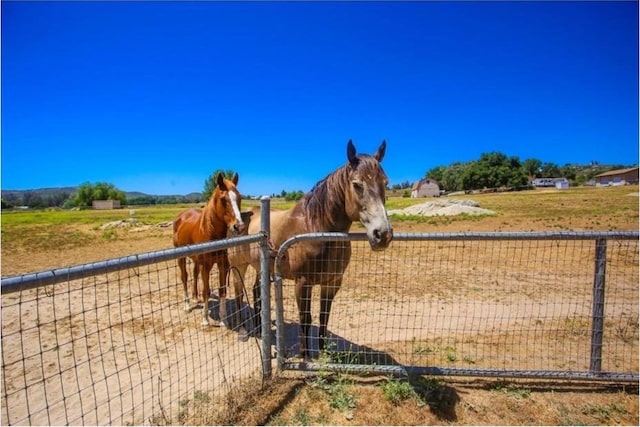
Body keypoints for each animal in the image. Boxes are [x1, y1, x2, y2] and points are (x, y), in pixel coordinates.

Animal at [172, 173, 248, 328]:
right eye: (223, 199)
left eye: (239, 198)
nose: (239, 227)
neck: (209, 232)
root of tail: (181, 217)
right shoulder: (205, 266)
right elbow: (206, 291)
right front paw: (205, 320)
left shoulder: (223, 265)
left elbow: (222, 290)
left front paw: (224, 320)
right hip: (181, 258)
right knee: (184, 277)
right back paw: (187, 305)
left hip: (196, 260)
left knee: (194, 274)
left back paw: (195, 298)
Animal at [270, 140, 390, 358]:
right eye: (357, 184)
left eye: (385, 183)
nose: (383, 234)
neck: (316, 229)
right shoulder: (302, 283)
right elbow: (305, 318)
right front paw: (304, 355)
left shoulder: (332, 283)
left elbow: (323, 317)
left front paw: (324, 353)